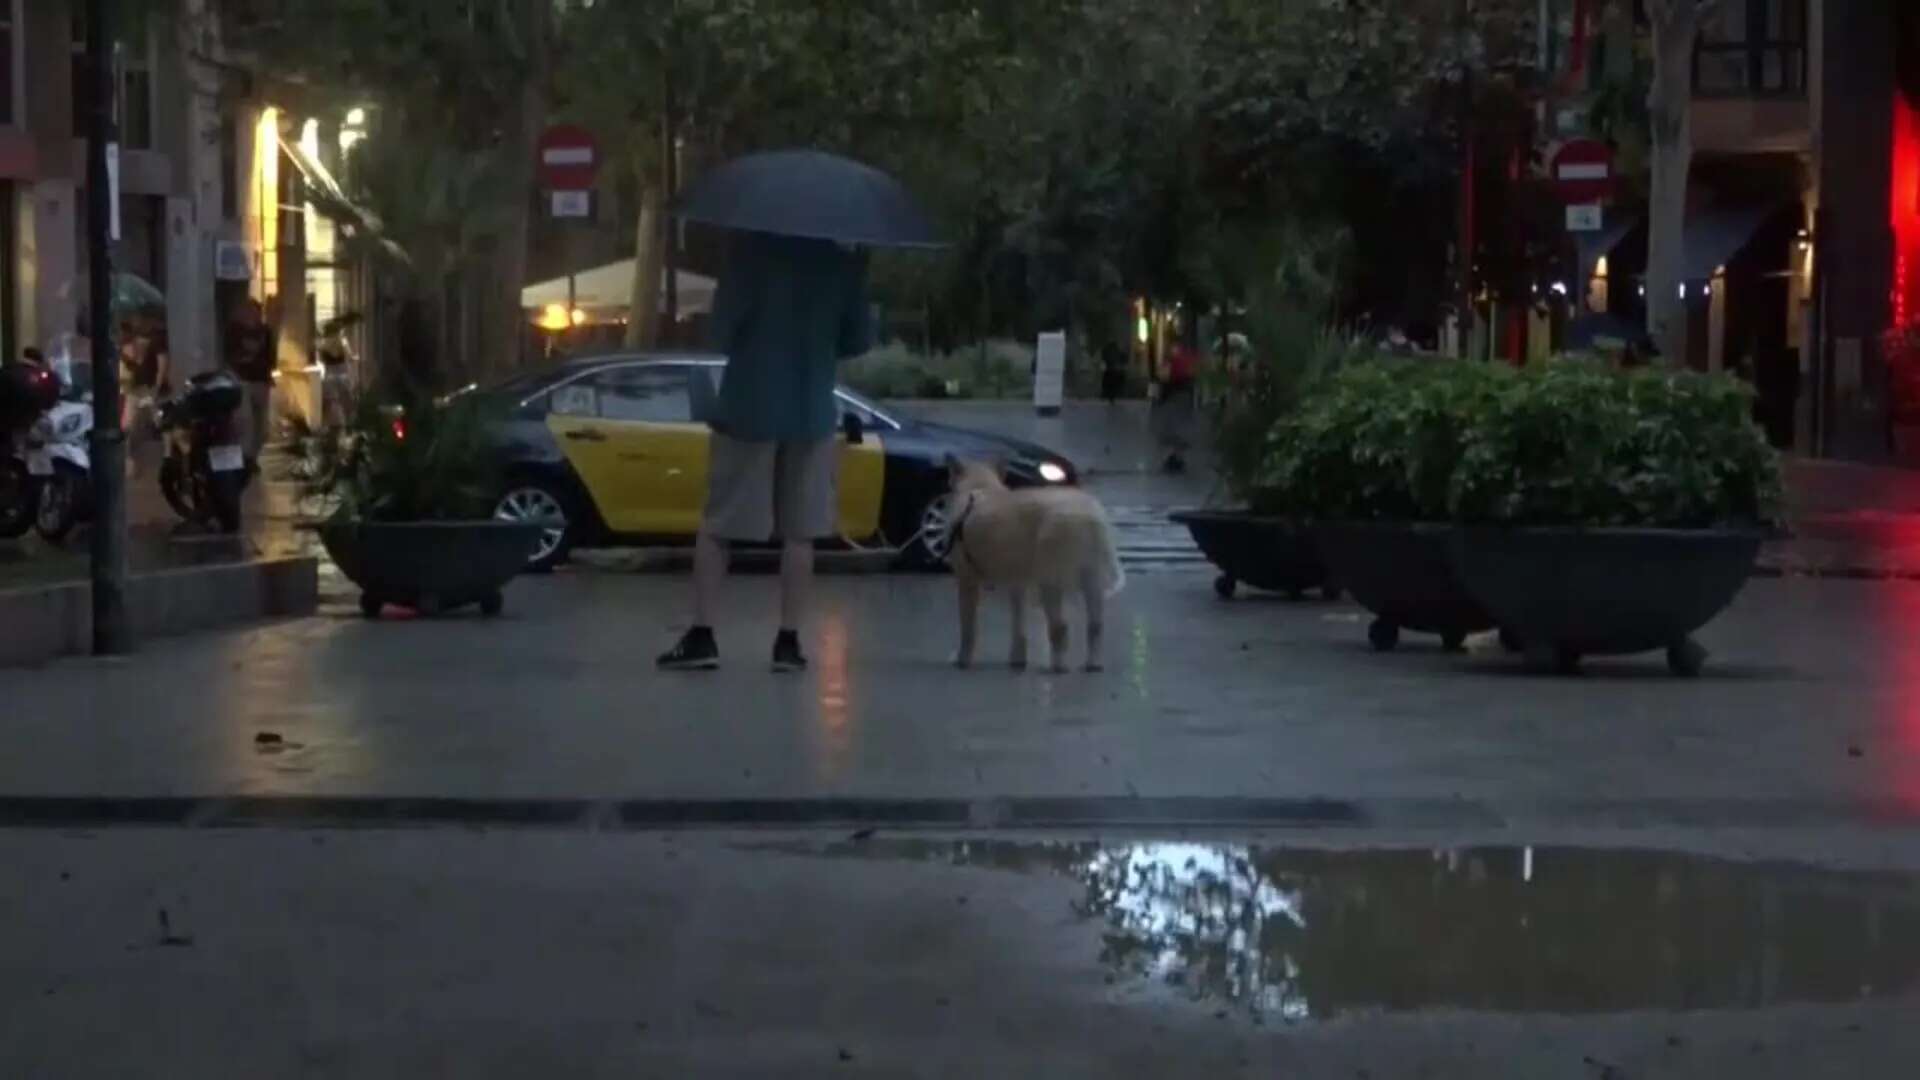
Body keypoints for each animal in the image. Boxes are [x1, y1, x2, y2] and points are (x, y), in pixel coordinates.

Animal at [944, 455, 1121, 672]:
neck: (980, 486)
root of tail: (1090, 517)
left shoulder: (967, 581)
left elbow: (968, 628)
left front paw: (963, 659)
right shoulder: (1017, 584)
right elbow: (1019, 626)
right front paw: (1018, 660)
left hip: (1050, 579)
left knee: (1060, 626)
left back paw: (1058, 665)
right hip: (1091, 578)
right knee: (1095, 625)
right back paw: (1093, 663)